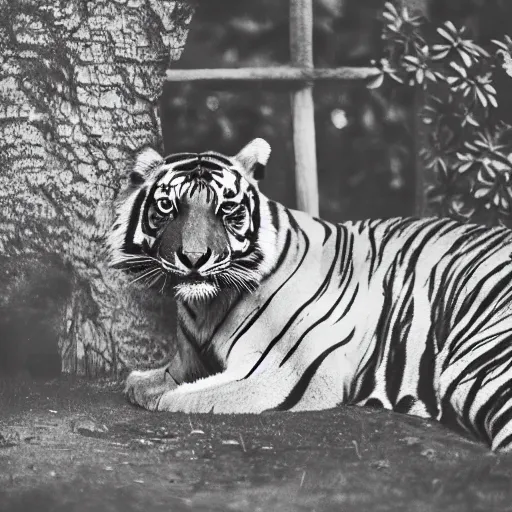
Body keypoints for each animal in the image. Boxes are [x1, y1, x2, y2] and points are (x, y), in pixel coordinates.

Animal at [108, 137, 512, 452]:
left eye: (226, 209)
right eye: (167, 207)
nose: (193, 259)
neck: (206, 306)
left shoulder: (280, 375)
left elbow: (178, 399)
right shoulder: (188, 362)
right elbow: (145, 383)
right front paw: (142, 383)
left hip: (480, 363)